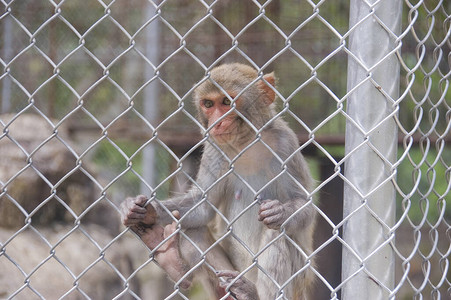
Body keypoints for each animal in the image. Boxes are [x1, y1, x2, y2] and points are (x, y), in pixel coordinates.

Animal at [122, 62, 316, 298]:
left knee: (275, 233)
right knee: (194, 230)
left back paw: (253, 293)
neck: (246, 143)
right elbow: (202, 206)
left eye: (226, 102)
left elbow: (304, 205)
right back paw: (174, 264)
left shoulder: (285, 144)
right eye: (208, 104)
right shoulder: (215, 148)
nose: (217, 123)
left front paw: (281, 211)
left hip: (297, 283)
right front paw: (144, 210)